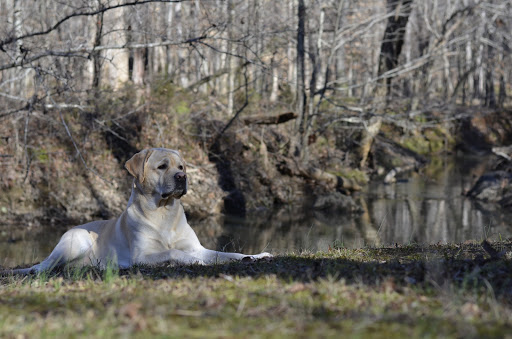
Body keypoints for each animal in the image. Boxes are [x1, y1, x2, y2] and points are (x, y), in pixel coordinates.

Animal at [8, 147, 272, 274]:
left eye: (181, 167)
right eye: (162, 166)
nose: (182, 177)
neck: (164, 214)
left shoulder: (200, 247)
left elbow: (229, 254)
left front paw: (256, 255)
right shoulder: (142, 256)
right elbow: (174, 252)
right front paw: (192, 262)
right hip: (76, 240)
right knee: (42, 267)